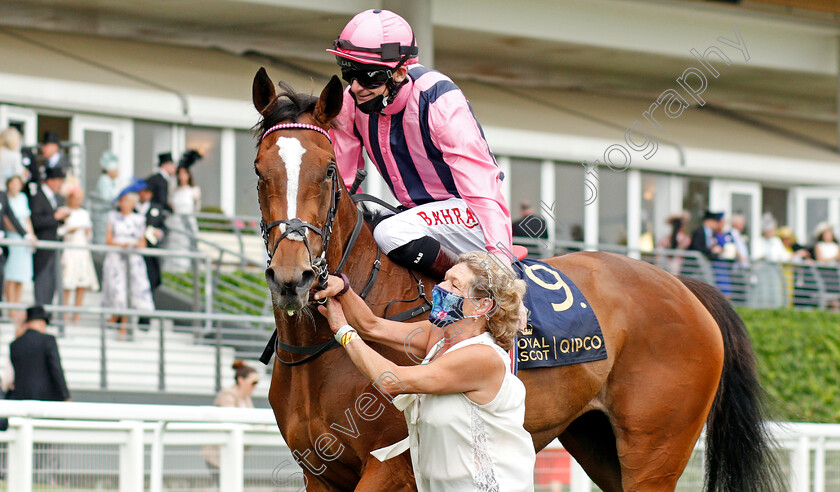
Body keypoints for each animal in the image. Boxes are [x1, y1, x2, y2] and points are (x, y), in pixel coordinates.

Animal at [251, 66, 780, 492]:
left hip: (655, 449)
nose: (293, 278)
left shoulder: (390, 468)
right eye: (258, 170)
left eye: (328, 170)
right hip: (595, 440)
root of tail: (684, 288)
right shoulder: (319, 472)